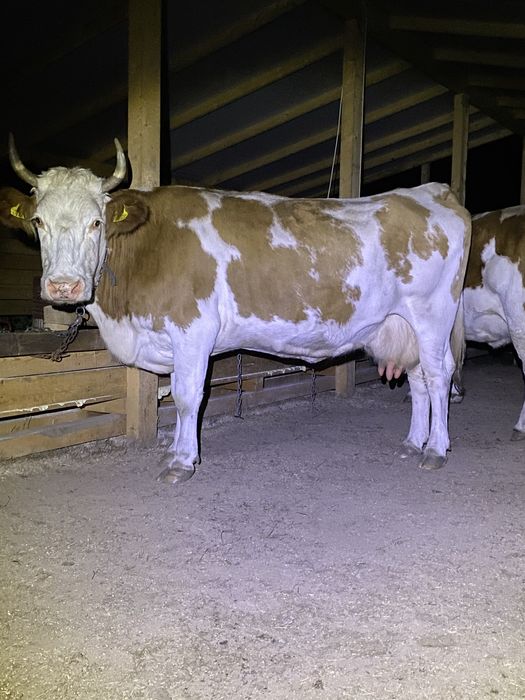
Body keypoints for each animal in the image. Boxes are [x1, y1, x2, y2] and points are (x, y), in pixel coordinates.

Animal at [0, 137, 471, 481]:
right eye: (38, 222)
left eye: (96, 222)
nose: (64, 285)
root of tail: (430, 192)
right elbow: (177, 392)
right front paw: (176, 451)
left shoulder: (193, 329)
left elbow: (188, 396)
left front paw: (181, 462)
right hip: (404, 324)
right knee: (419, 381)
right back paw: (413, 442)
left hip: (432, 315)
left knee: (438, 374)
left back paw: (436, 449)